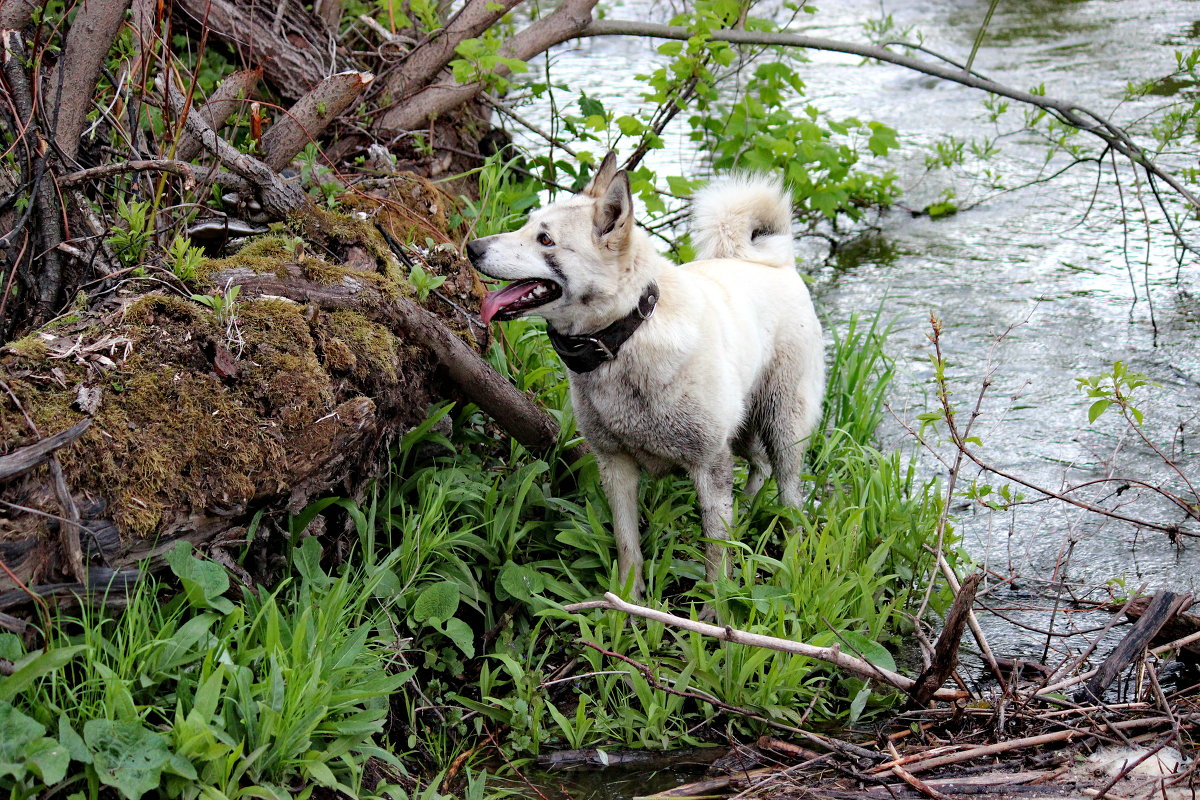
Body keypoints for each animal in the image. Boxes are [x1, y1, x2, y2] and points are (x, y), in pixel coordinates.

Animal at [468, 154, 825, 594]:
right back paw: (747, 510)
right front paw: (626, 599)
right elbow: (628, 543)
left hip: (783, 426)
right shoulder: (616, 467)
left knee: (790, 497)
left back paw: (792, 555)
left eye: (545, 240)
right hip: (743, 426)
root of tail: (775, 261)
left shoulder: (709, 466)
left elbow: (715, 554)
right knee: (758, 464)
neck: (624, 336)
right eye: (527, 225)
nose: (472, 247)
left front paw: (714, 605)